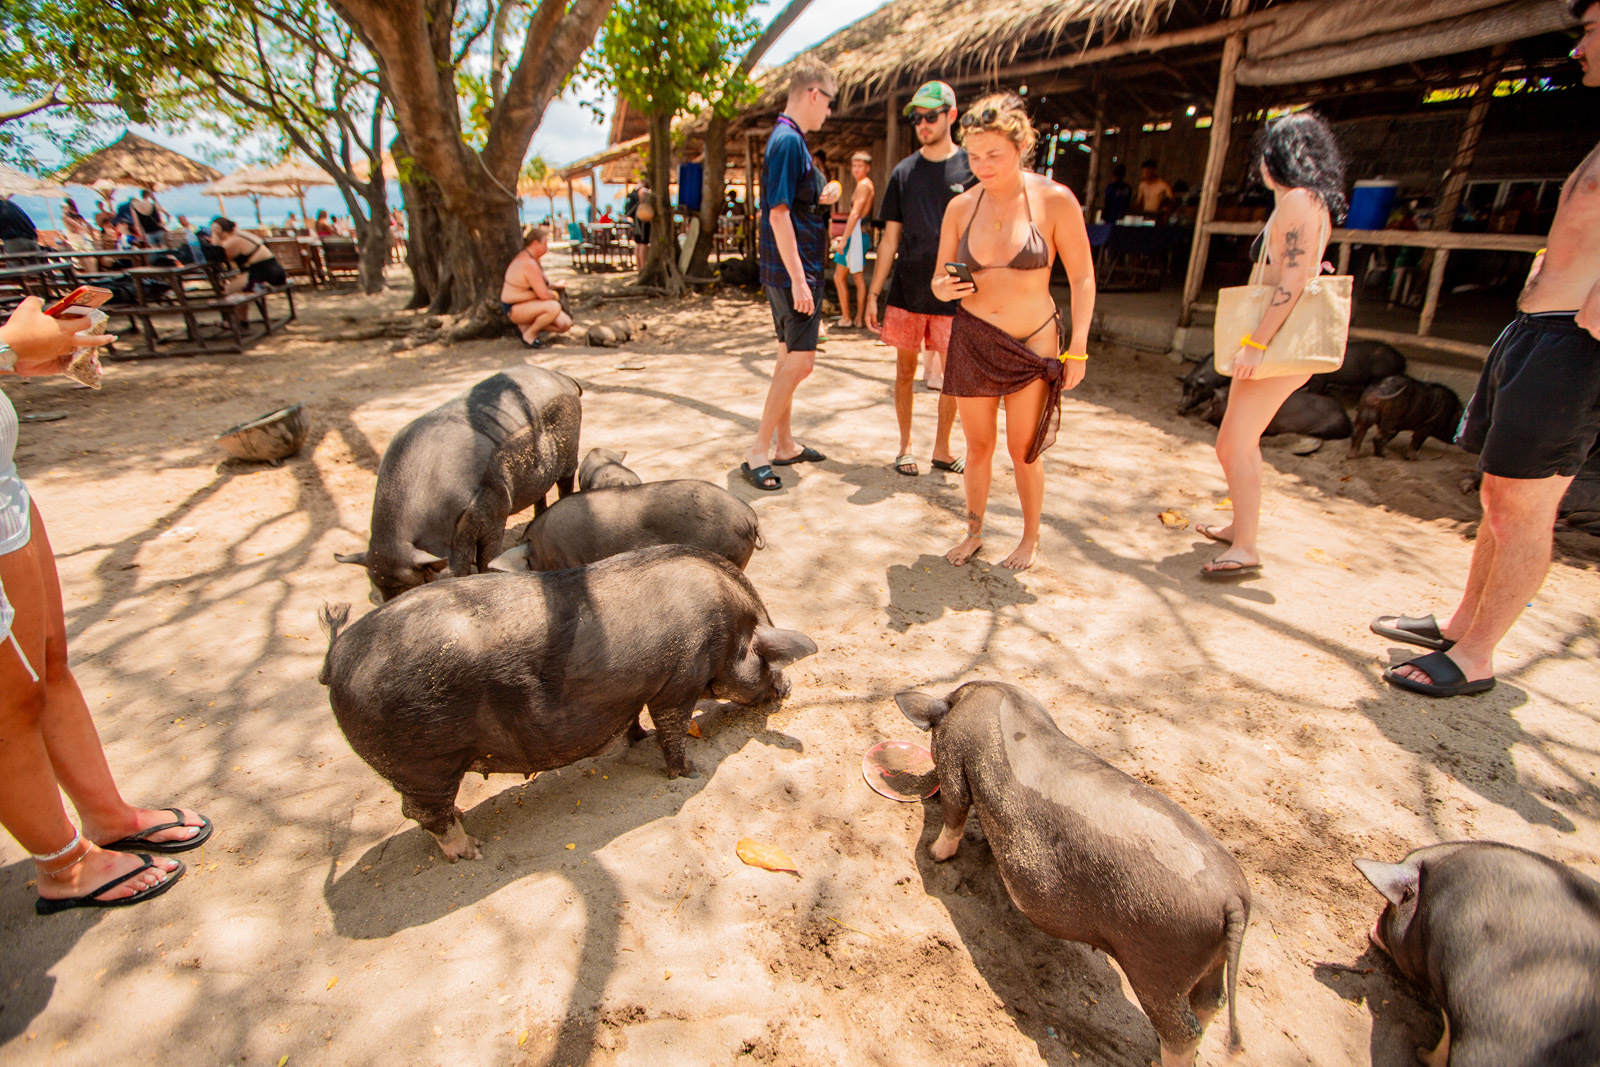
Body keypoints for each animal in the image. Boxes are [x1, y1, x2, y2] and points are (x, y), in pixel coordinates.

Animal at [319, 545, 816, 861]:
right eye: (767, 659)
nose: (788, 687)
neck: (728, 631)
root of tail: (338, 658)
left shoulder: (631, 693)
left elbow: (634, 722)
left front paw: (637, 740)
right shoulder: (678, 681)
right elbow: (672, 728)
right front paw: (688, 772)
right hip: (422, 763)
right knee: (421, 812)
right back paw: (472, 851)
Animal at [333, 366, 582, 603]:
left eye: (421, 581)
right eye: (384, 590)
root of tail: (562, 378)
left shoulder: (495, 511)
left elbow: (486, 556)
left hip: (570, 450)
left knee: (565, 480)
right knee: (541, 493)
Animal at [896, 681, 1250, 1067]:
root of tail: (1232, 898)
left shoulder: (954, 762)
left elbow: (954, 813)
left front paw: (933, 855)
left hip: (1160, 968)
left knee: (1183, 1030)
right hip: (1208, 962)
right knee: (1212, 1003)